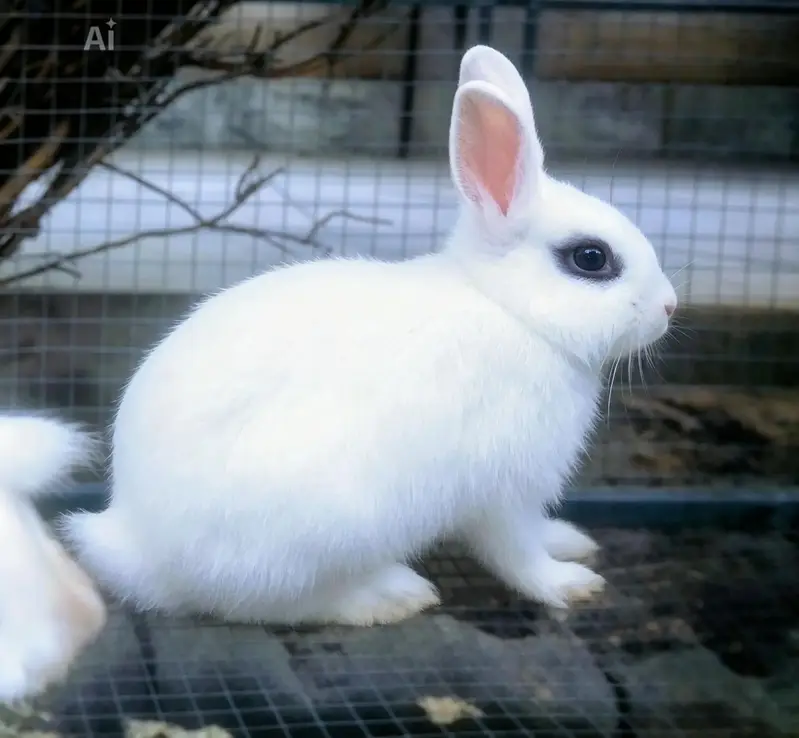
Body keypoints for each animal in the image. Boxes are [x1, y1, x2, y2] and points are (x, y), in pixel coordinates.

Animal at [61, 44, 677, 627]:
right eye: (590, 258)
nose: (669, 307)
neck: (509, 309)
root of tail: (135, 544)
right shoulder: (501, 490)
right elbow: (514, 552)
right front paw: (569, 584)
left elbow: (535, 532)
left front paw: (571, 540)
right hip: (326, 526)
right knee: (265, 603)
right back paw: (387, 596)